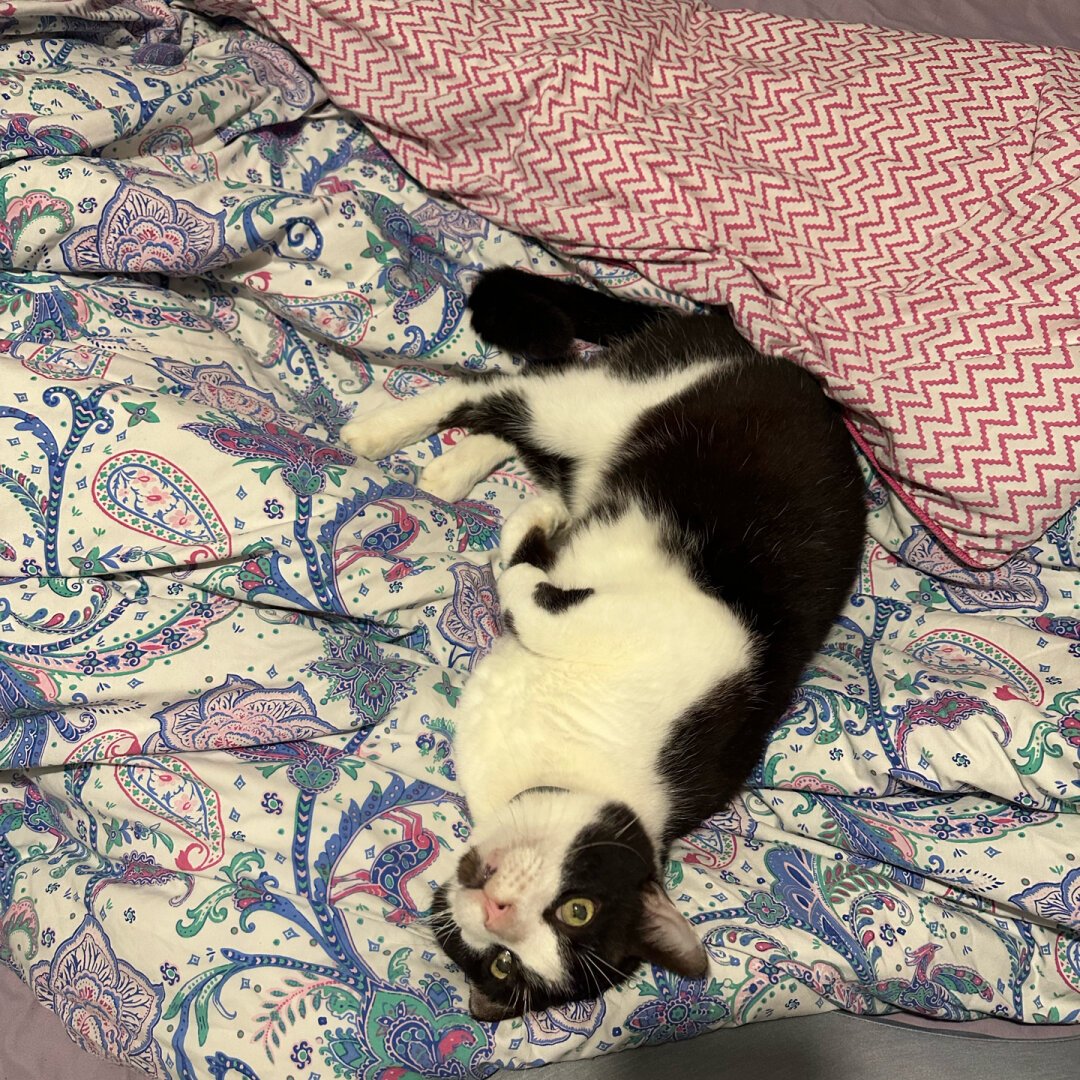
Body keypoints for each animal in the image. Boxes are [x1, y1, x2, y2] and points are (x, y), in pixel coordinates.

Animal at [341, 267, 864, 1019]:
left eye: (509, 964)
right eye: (577, 909)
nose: (500, 915)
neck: (560, 768)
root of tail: (751, 344)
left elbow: (526, 576)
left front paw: (532, 524)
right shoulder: (696, 625)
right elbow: (532, 593)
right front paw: (529, 532)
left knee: (532, 429)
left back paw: (465, 470)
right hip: (608, 401)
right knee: (505, 387)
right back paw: (382, 432)